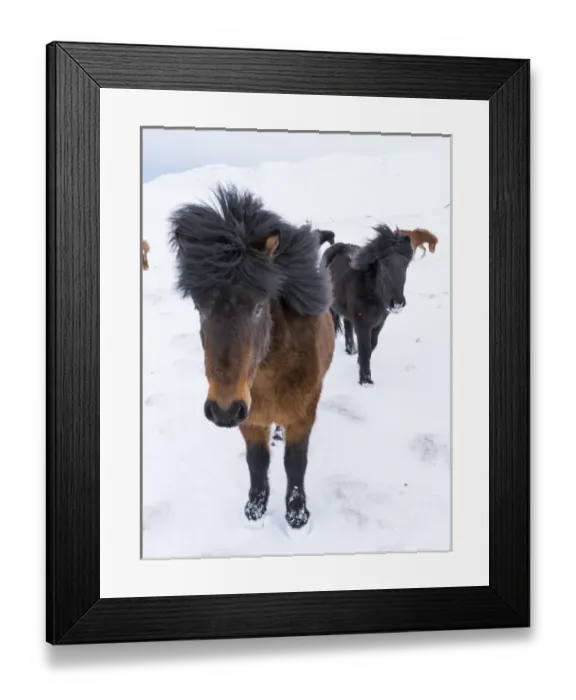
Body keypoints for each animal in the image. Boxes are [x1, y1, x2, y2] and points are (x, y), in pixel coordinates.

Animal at [168, 185, 335, 530]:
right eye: (200, 307)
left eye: (259, 307)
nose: (223, 410)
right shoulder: (250, 418)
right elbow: (257, 462)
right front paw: (255, 508)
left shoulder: (303, 415)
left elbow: (295, 463)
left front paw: (296, 514)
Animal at [321, 224, 414, 386]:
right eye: (383, 266)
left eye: (405, 265)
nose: (397, 303)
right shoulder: (362, 325)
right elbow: (365, 349)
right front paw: (365, 381)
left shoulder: (378, 324)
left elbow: (372, 346)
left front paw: (359, 363)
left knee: (347, 325)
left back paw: (351, 350)